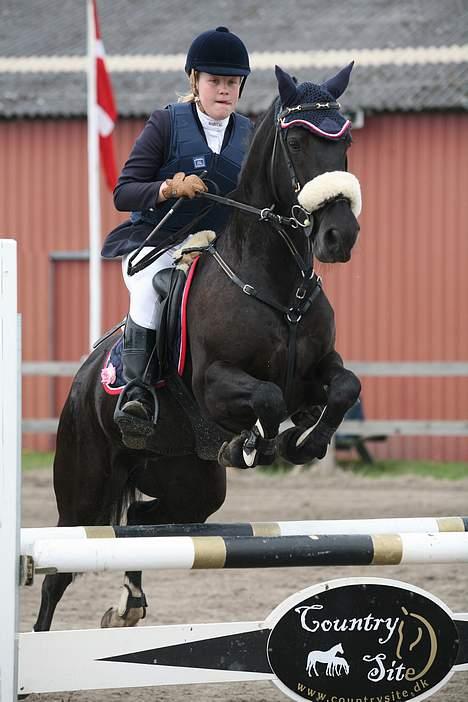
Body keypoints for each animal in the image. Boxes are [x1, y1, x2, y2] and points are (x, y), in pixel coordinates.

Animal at [33, 64, 362, 632]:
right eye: (297, 141)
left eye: (344, 142)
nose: (340, 236)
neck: (278, 286)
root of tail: (83, 378)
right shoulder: (216, 384)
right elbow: (268, 399)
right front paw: (254, 444)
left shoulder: (316, 372)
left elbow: (344, 387)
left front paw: (305, 442)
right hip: (84, 488)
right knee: (60, 568)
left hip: (188, 480)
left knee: (144, 523)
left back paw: (130, 601)